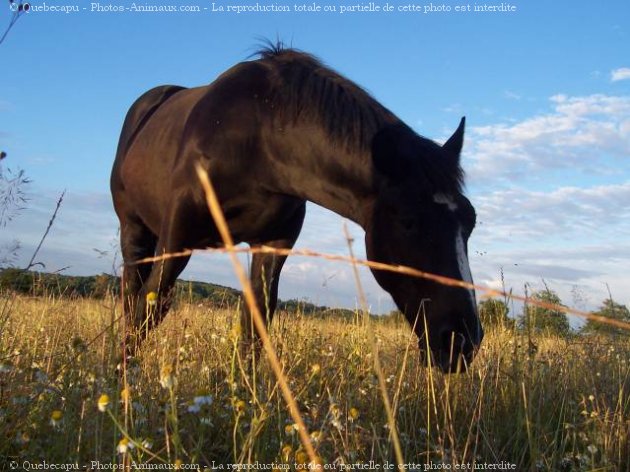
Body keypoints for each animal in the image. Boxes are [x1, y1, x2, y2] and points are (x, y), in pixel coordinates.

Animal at [111, 46, 484, 374]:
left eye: (470, 223)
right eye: (408, 221)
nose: (462, 340)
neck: (257, 137)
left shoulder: (274, 243)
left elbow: (256, 321)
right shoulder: (178, 235)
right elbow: (150, 304)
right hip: (135, 228)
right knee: (132, 294)